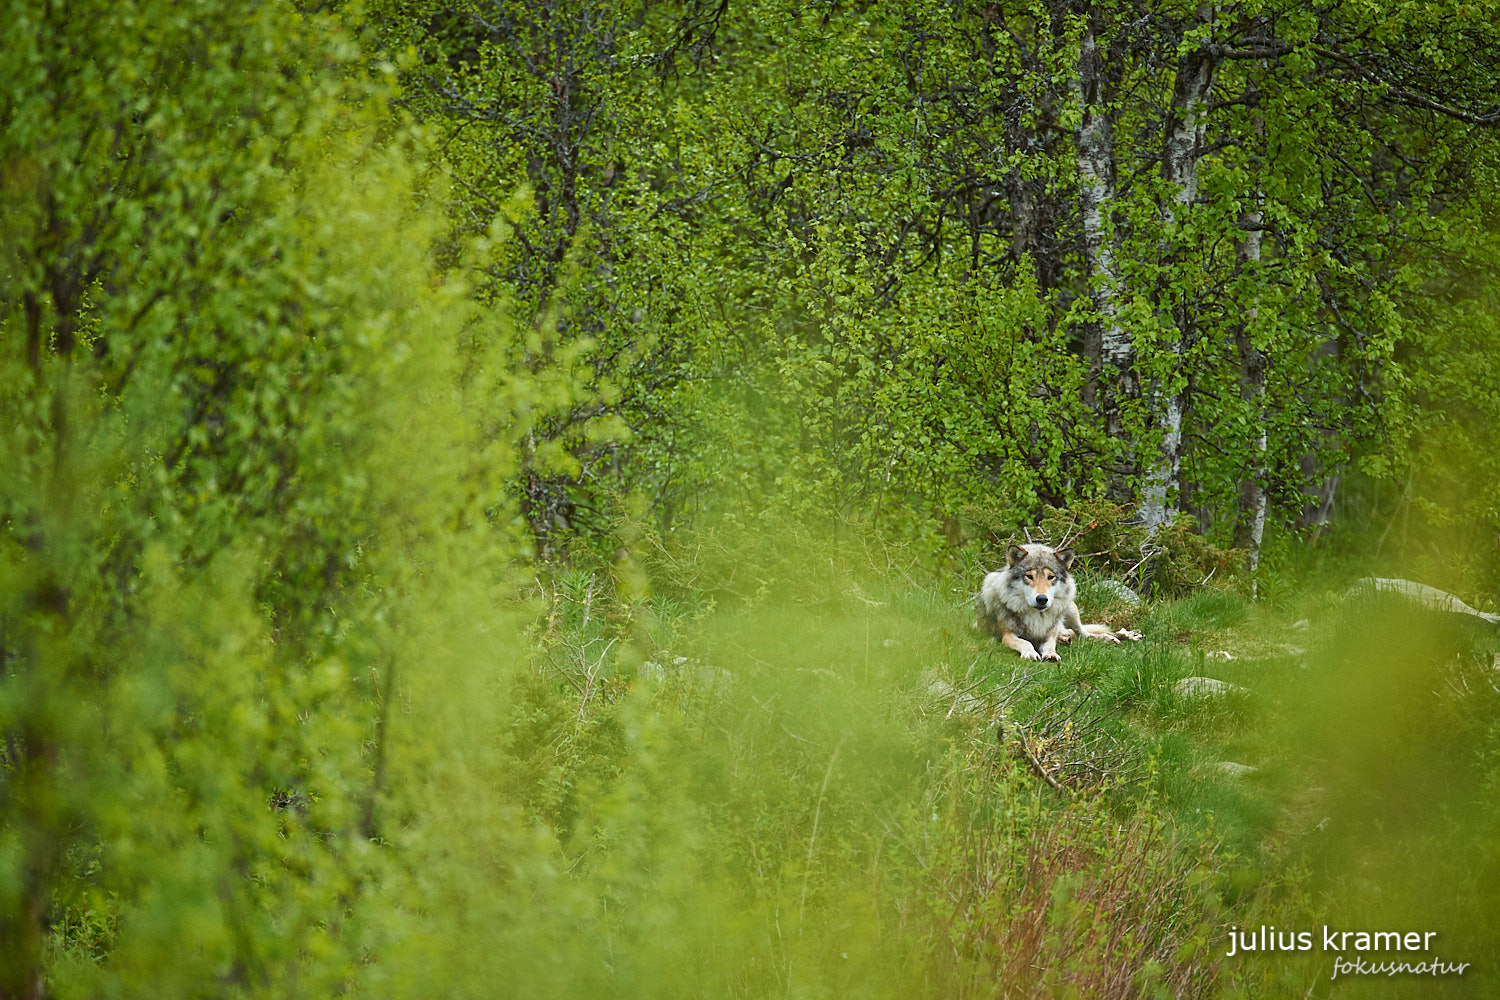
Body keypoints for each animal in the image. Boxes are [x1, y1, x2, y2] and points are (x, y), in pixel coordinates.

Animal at [978, 542, 1140, 659]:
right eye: (1029, 576)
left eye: (1051, 577)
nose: (1042, 599)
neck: (1037, 616)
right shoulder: (1008, 635)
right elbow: (1025, 642)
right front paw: (1030, 652)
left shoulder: (1049, 634)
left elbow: (1050, 645)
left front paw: (1051, 654)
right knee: (1076, 634)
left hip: (1070, 608)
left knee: (1085, 634)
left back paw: (1116, 637)